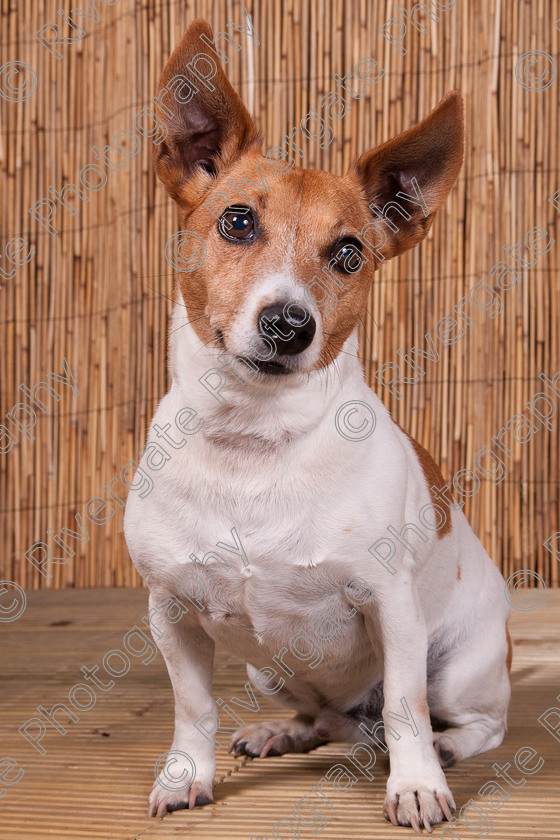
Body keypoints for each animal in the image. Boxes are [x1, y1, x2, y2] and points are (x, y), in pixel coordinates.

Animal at [126, 19, 512, 832]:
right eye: (238, 221)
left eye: (348, 253)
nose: (288, 323)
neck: (254, 439)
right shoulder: (170, 612)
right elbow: (192, 707)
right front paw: (185, 775)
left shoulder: (392, 608)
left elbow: (404, 707)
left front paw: (416, 786)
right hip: (266, 670)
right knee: (325, 719)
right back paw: (288, 730)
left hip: (459, 665)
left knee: (460, 719)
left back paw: (446, 748)